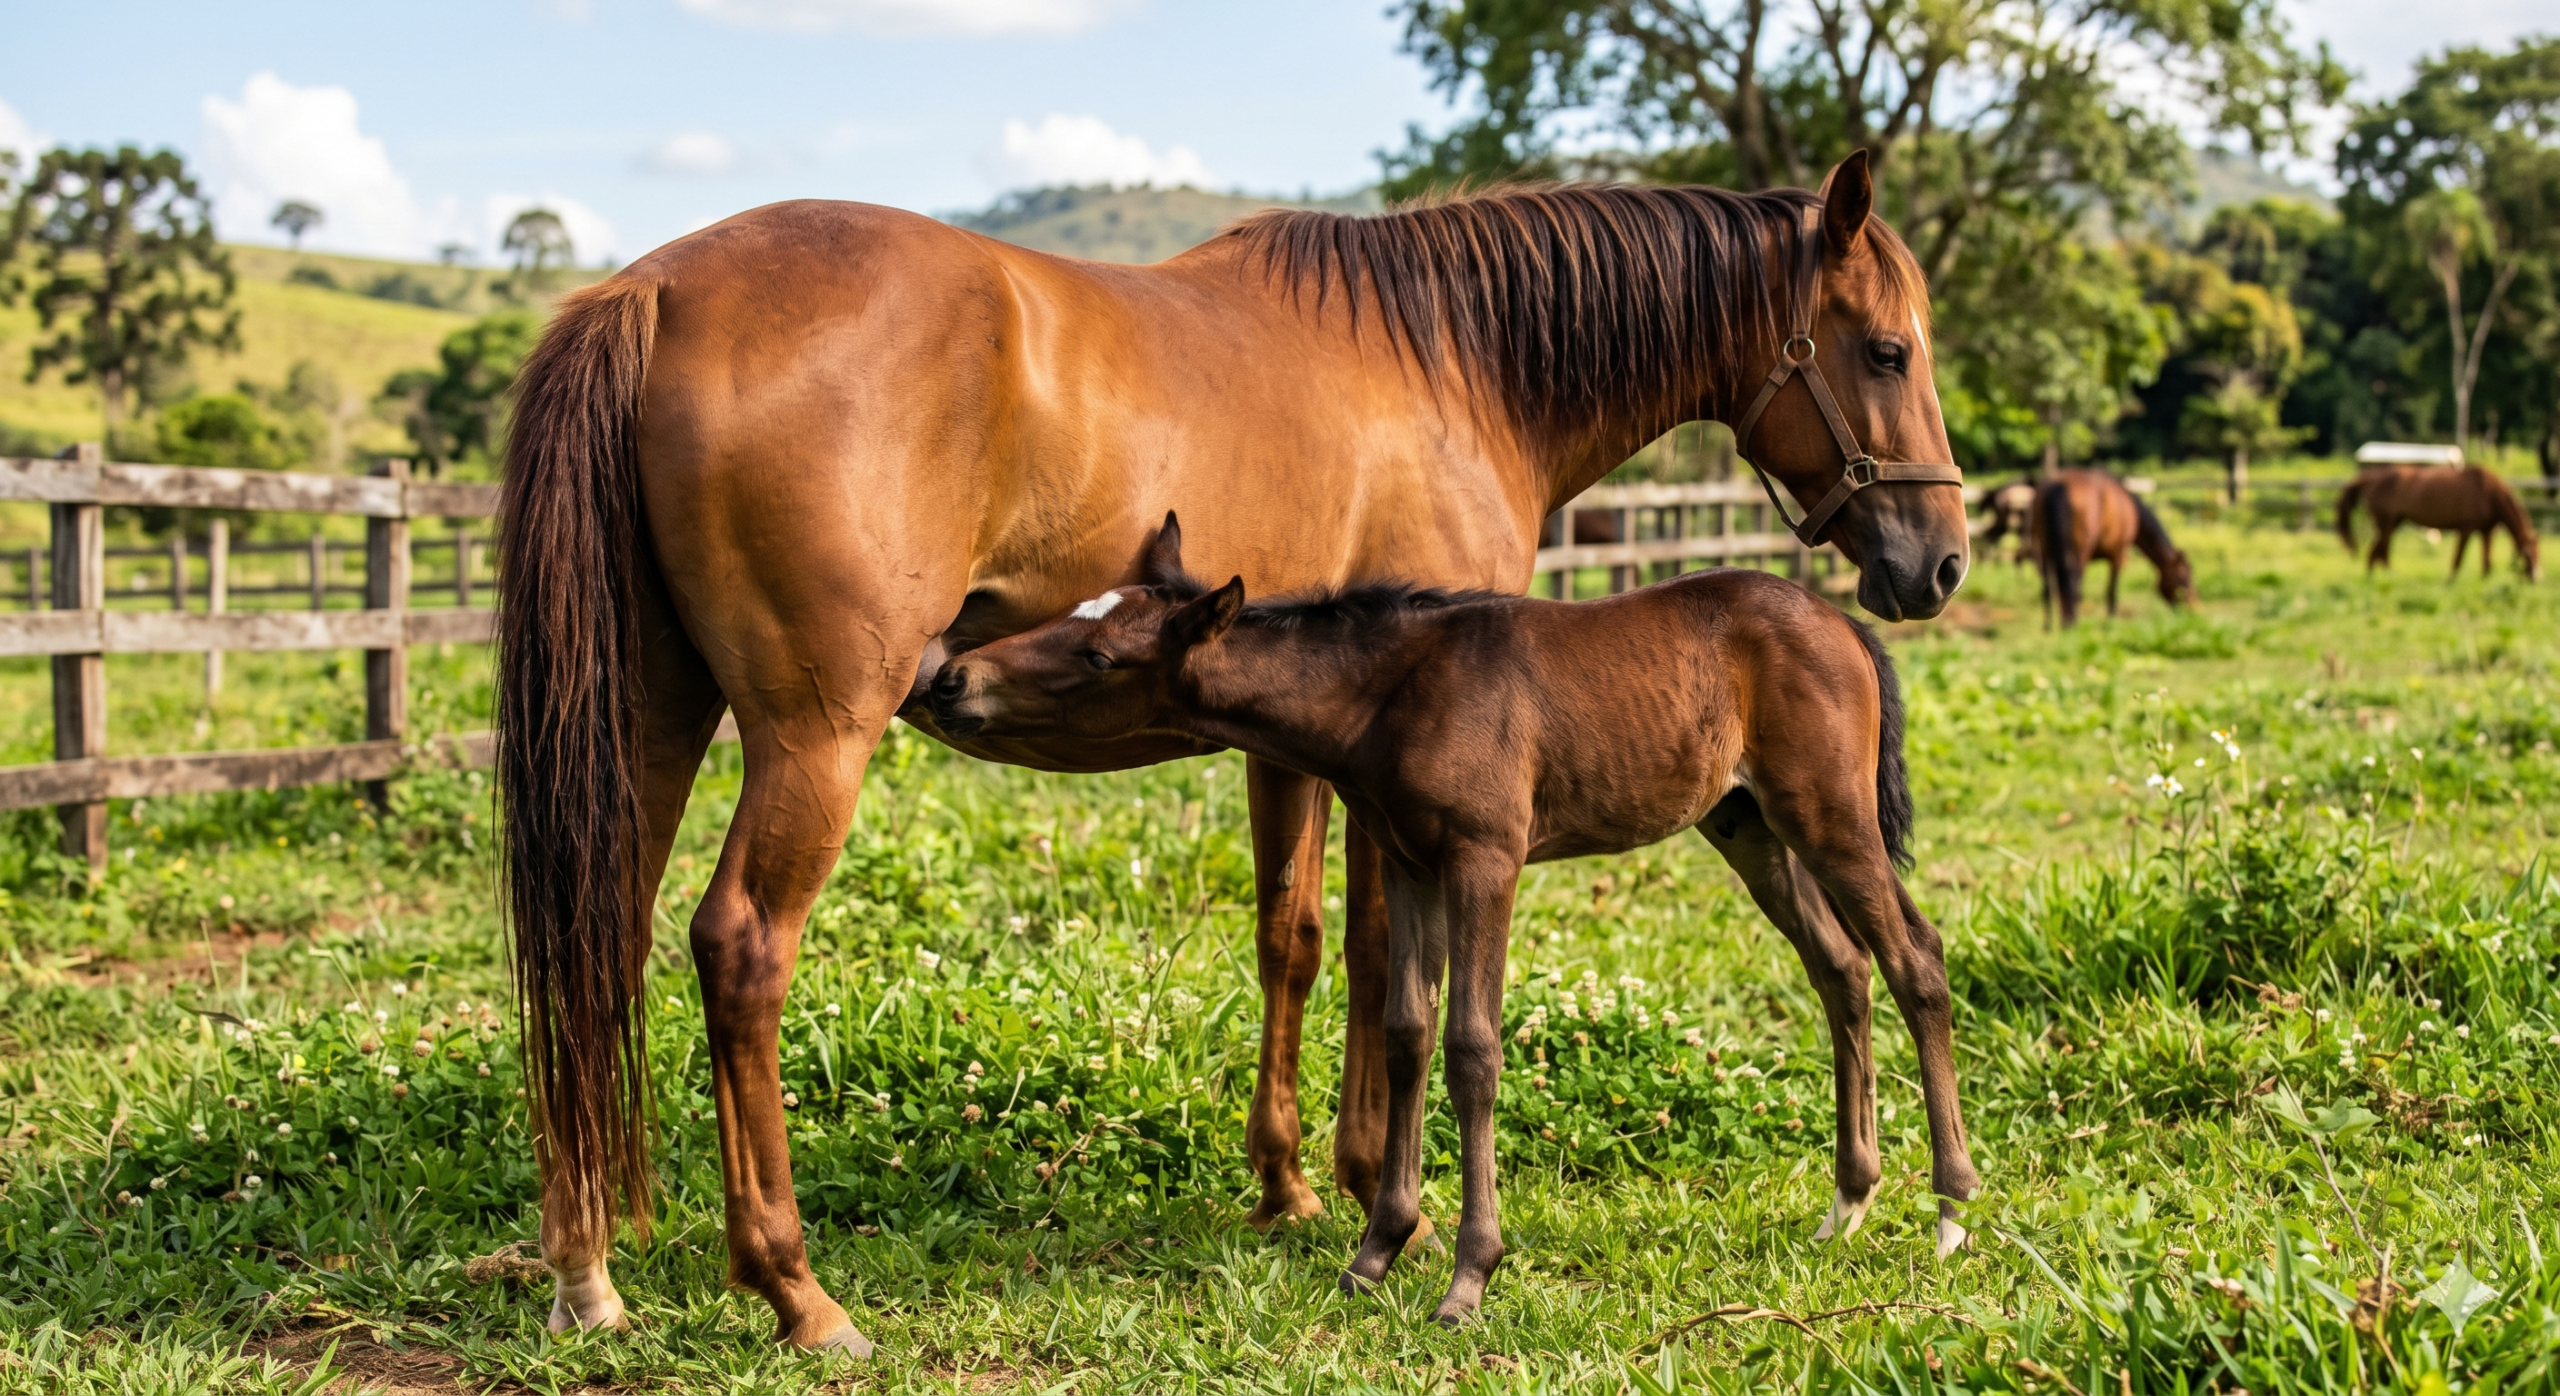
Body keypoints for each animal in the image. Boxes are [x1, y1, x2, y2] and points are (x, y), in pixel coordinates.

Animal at [928, 516, 1981, 1324]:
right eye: (1067, 615)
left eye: (1099, 654)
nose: (951, 679)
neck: (1389, 693)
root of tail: (1844, 624)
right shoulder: (1409, 861)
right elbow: (1406, 1033)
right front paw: (1375, 1252)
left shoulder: (1485, 859)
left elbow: (1474, 1048)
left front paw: (1470, 1276)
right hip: (1749, 825)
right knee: (1841, 967)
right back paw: (1848, 1202)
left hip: (1830, 815)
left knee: (1914, 959)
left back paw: (1951, 1209)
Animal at [2031, 469, 2193, 628]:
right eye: (2183, 579)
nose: (2191, 610)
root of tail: (2058, 485)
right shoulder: (2118, 554)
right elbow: (2112, 591)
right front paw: (2111, 621)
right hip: (2080, 551)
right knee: (2073, 583)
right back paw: (2072, 622)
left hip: (2045, 548)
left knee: (2048, 587)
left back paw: (2050, 626)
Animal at [2337, 464, 2542, 580]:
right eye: (2528, 554)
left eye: (2539, 553)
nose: (2536, 578)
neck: (2488, 492)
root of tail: (2372, 477)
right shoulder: (2466, 529)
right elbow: (2458, 557)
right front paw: (2451, 579)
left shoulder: (2486, 530)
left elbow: (2487, 561)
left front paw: (2486, 579)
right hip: (2385, 523)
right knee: (2378, 551)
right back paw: (2380, 576)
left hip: (2394, 523)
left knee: (2379, 550)